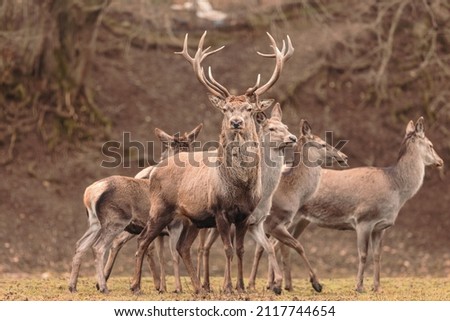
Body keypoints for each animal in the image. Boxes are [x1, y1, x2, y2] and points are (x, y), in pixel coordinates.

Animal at [67, 123, 202, 292]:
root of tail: (89, 193)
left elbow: (163, 255)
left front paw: (163, 288)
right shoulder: (174, 224)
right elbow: (174, 254)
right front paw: (177, 288)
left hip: (95, 223)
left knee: (80, 245)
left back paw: (73, 286)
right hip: (116, 220)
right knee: (99, 247)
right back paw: (104, 286)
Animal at [128, 31, 294, 294]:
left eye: (249, 108)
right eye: (225, 109)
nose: (236, 122)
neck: (239, 187)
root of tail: (155, 170)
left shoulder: (245, 215)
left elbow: (240, 250)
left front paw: (241, 287)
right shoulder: (219, 212)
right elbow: (227, 249)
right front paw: (228, 288)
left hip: (190, 220)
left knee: (182, 247)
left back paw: (197, 288)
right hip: (160, 209)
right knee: (143, 239)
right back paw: (136, 285)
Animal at [276, 116, 442, 292]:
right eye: (431, 145)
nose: (441, 161)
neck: (395, 188)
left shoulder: (381, 226)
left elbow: (377, 255)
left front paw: (377, 287)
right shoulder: (364, 220)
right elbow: (363, 255)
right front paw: (359, 286)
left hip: (302, 220)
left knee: (280, 244)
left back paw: (286, 285)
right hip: (289, 216)